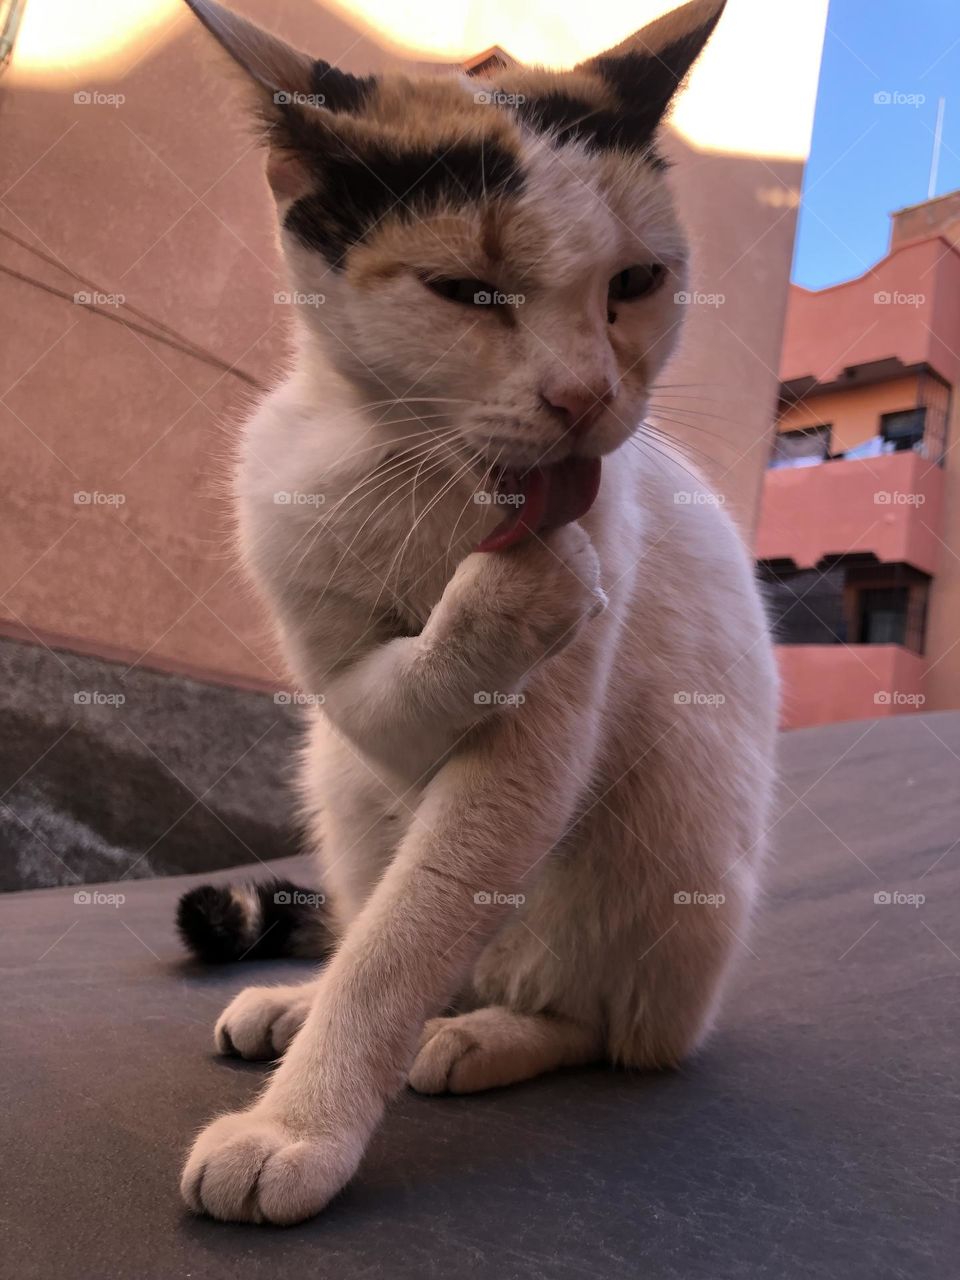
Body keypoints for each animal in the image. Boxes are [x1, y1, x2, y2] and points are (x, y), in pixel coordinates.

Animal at [175, 0, 783, 1223]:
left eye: (635, 281)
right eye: (471, 293)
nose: (585, 396)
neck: (420, 477)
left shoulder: (524, 764)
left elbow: (402, 944)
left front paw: (296, 1127)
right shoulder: (344, 691)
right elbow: (385, 722)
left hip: (672, 818)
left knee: (603, 1025)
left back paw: (483, 1034)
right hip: (338, 780)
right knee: (386, 913)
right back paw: (303, 1001)